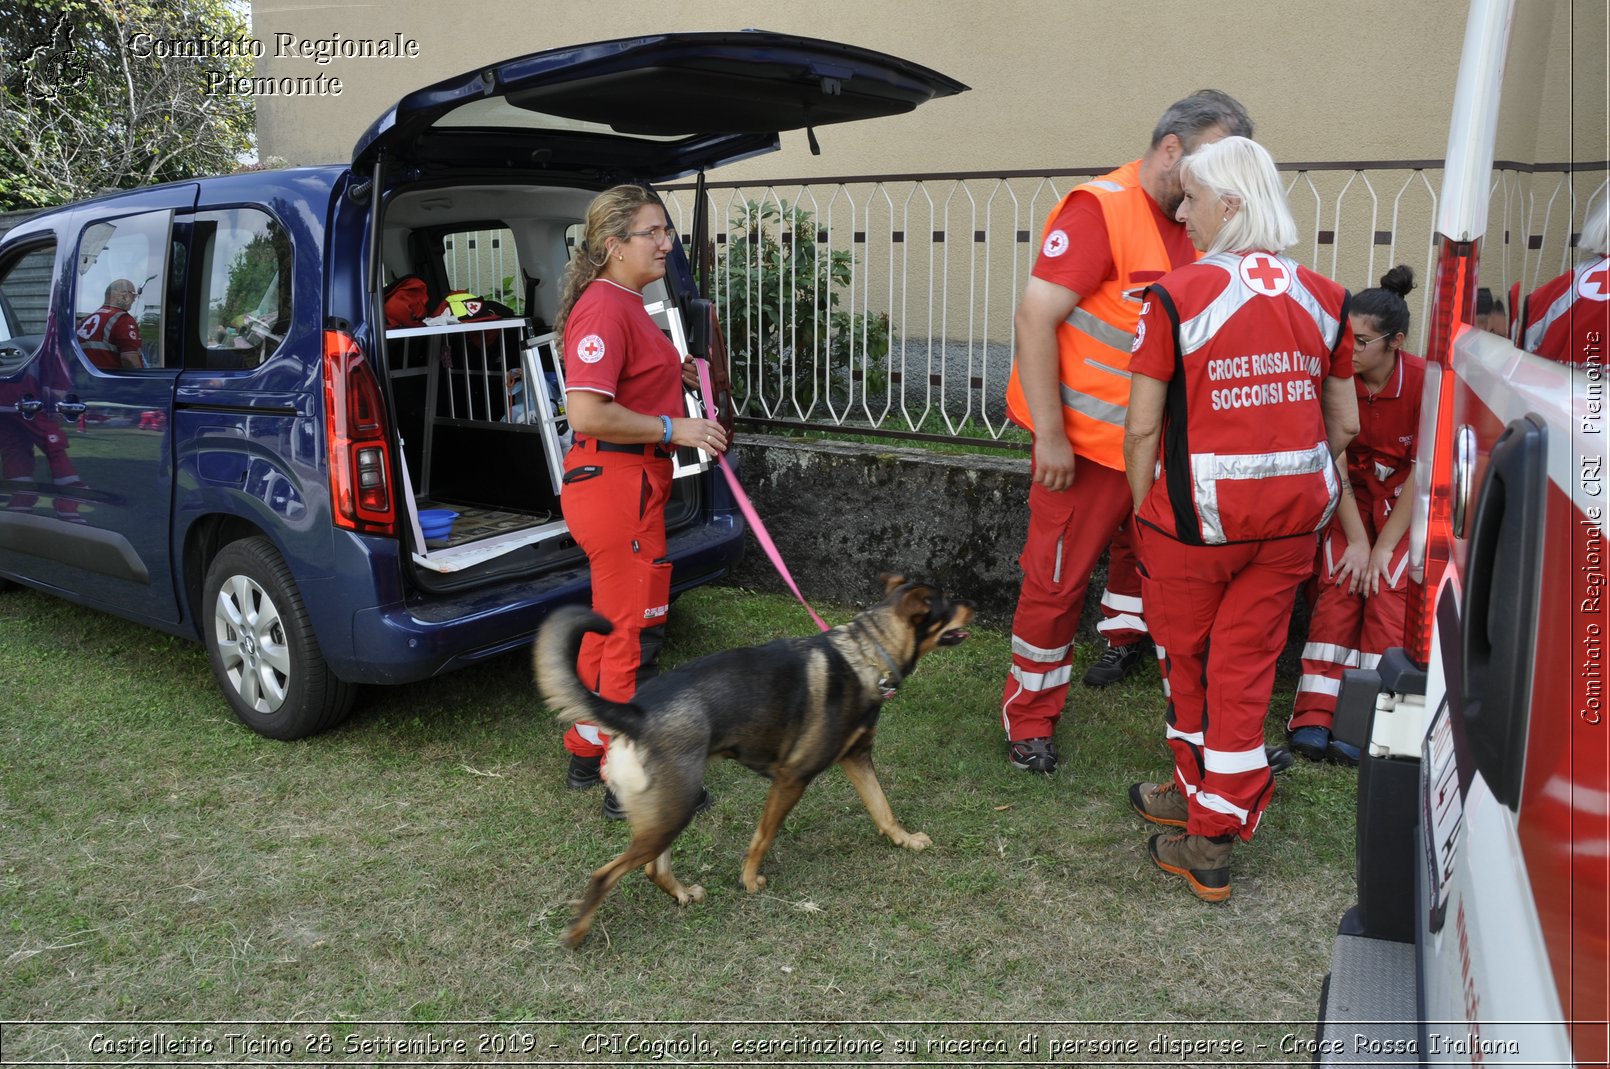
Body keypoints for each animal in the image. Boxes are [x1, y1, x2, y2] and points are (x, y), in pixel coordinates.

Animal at [534, 576, 972, 946]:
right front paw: (749, 881)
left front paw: (905, 840)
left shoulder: (857, 756)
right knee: (603, 874)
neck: (868, 653)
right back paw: (578, 932)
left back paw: (682, 894)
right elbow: (763, 836)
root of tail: (635, 713)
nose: (972, 603)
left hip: (667, 810)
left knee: (652, 869)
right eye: (949, 602)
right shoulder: (792, 778)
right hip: (673, 811)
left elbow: (882, 808)